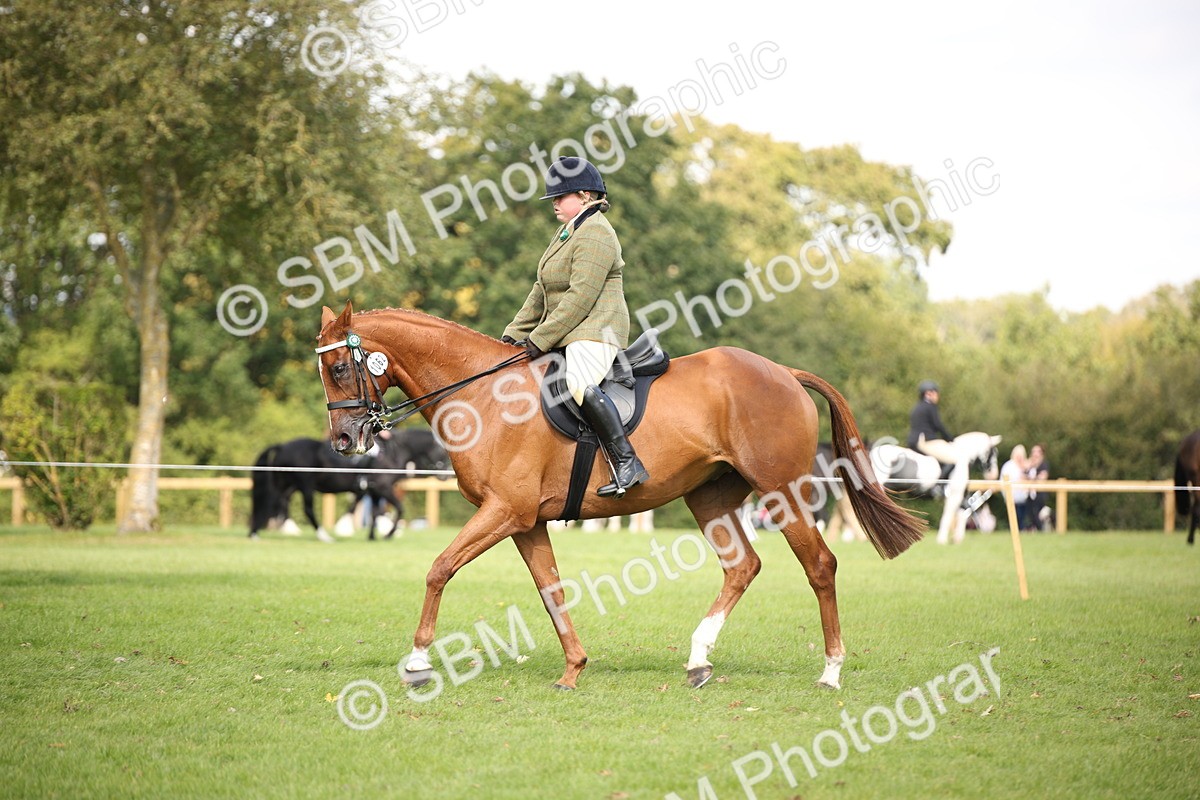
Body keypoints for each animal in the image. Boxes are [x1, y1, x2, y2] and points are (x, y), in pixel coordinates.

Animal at [315, 302, 925, 691]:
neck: (483, 394)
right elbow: (551, 591)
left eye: (341, 366)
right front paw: (573, 669)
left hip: (783, 493)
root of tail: (784, 372)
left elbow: (439, 568)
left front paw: (418, 662)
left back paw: (831, 671)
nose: (344, 440)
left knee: (819, 565)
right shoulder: (525, 522)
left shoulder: (504, 511)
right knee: (742, 566)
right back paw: (698, 659)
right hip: (710, 498)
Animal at [870, 432, 1001, 545]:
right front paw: (942, 540)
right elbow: (950, 516)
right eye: (993, 452)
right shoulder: (955, 495)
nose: (993, 475)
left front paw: (956, 539)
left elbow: (962, 512)